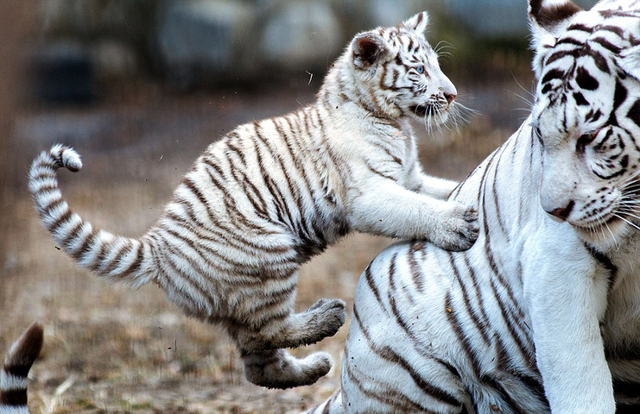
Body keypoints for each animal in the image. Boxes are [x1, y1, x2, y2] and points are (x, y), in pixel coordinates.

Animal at [28, 11, 480, 390]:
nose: (453, 95)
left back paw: (312, 367)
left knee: (258, 363)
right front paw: (459, 226)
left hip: (244, 295)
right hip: (270, 254)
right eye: (419, 70)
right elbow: (415, 209)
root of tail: (158, 244)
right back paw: (327, 316)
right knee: (271, 331)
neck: (391, 122)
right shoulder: (370, 194)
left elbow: (441, 189)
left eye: (437, 65)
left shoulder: (412, 178)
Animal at [310, 0, 640, 414]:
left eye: (591, 137)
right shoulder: (559, 266)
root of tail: (345, 387)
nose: (553, 211)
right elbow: (582, 386)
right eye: (540, 133)